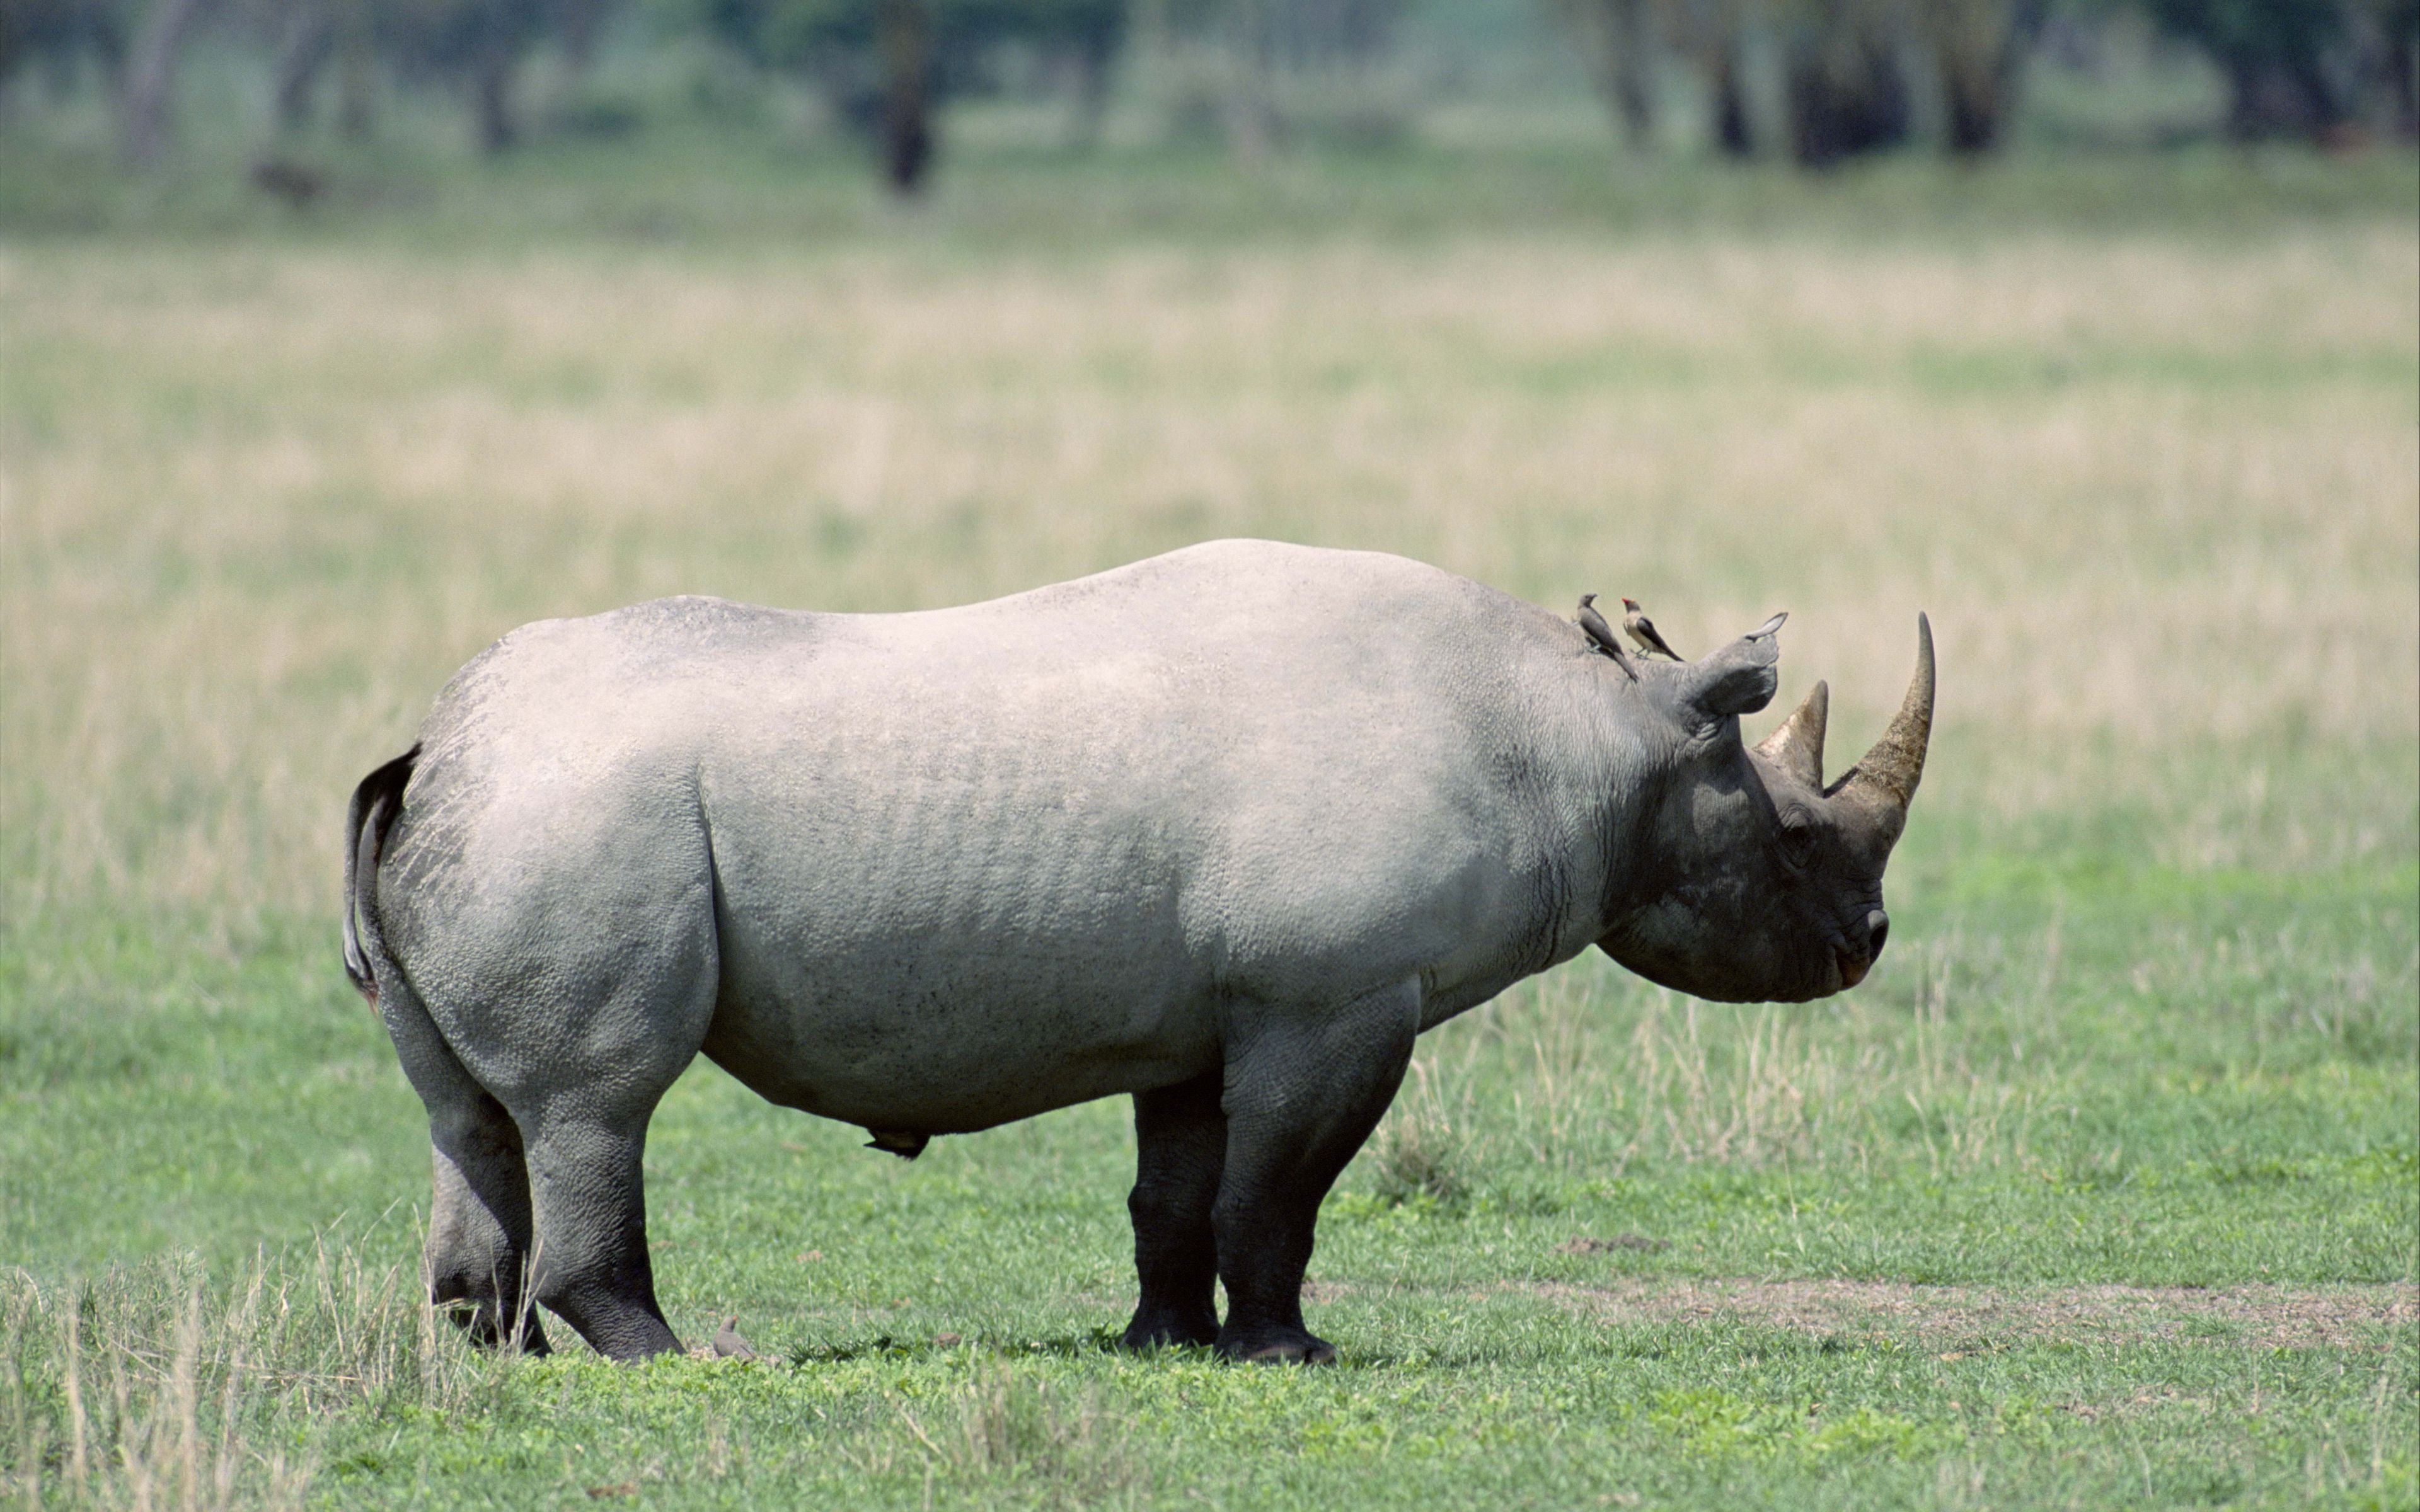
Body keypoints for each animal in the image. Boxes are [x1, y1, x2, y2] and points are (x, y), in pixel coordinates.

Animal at [341, 540, 1932, 1363]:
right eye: (1797, 843)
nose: (1865, 941)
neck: (1593, 738)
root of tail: (434, 748)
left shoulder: (1207, 1010)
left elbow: (1175, 1187)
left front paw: (1161, 1341)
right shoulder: (1335, 994)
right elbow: (1278, 1187)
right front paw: (1287, 1352)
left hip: (500, 809)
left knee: (473, 1112)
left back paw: (492, 1354)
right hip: (577, 813)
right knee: (599, 1098)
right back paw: (678, 1360)